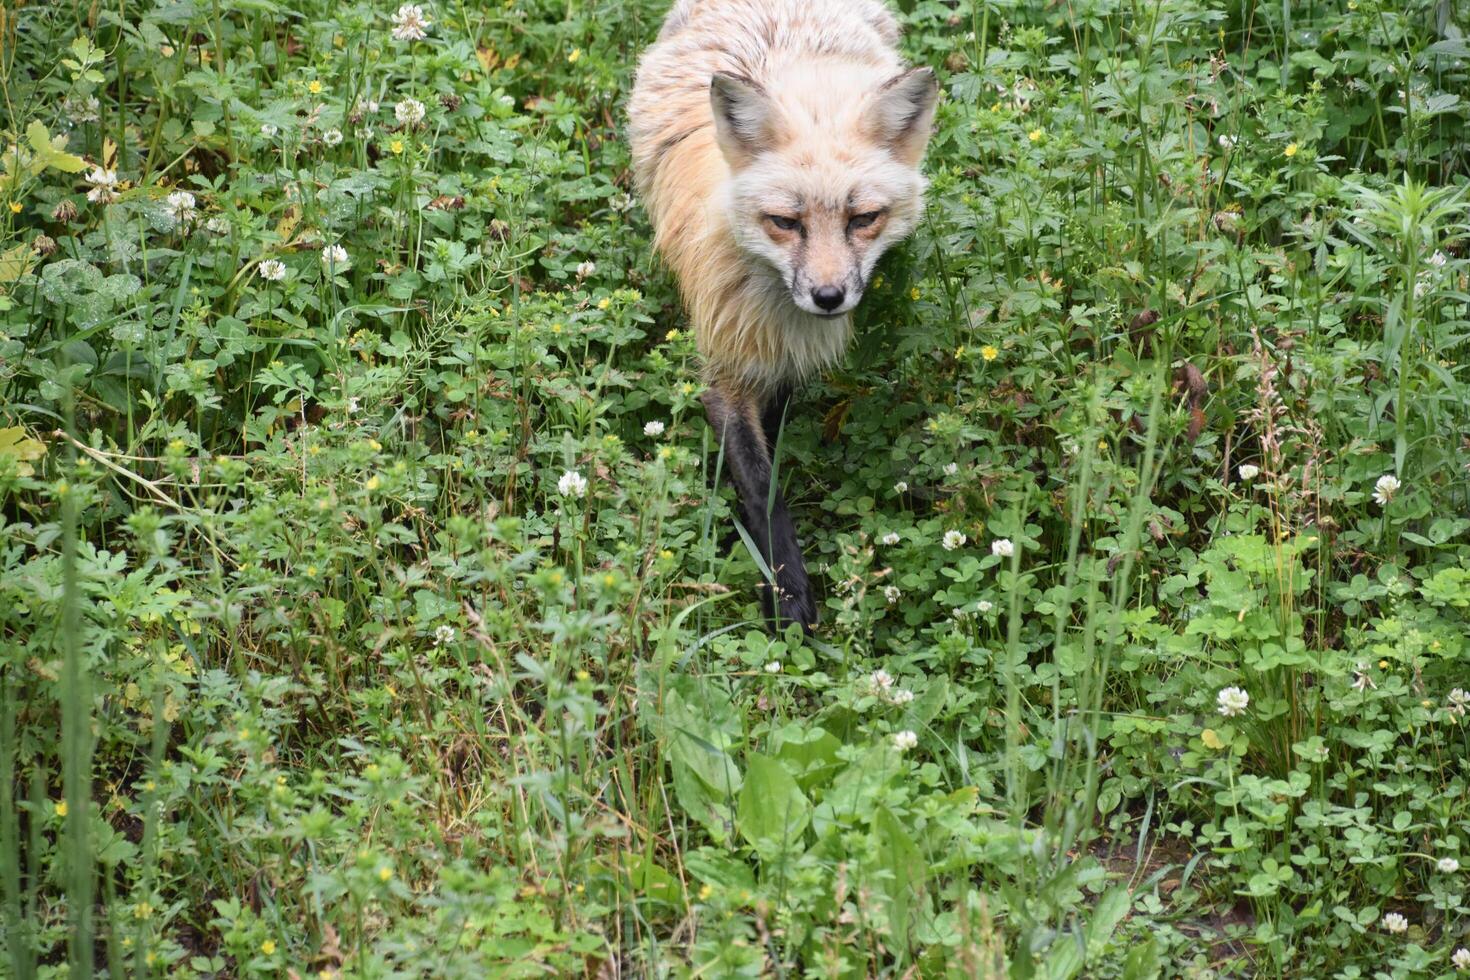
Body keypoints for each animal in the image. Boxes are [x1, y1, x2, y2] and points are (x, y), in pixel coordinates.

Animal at [626, 0, 934, 628]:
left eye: (863, 218)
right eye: (785, 222)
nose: (828, 296)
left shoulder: (779, 358)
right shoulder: (725, 362)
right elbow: (762, 488)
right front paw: (786, 591)